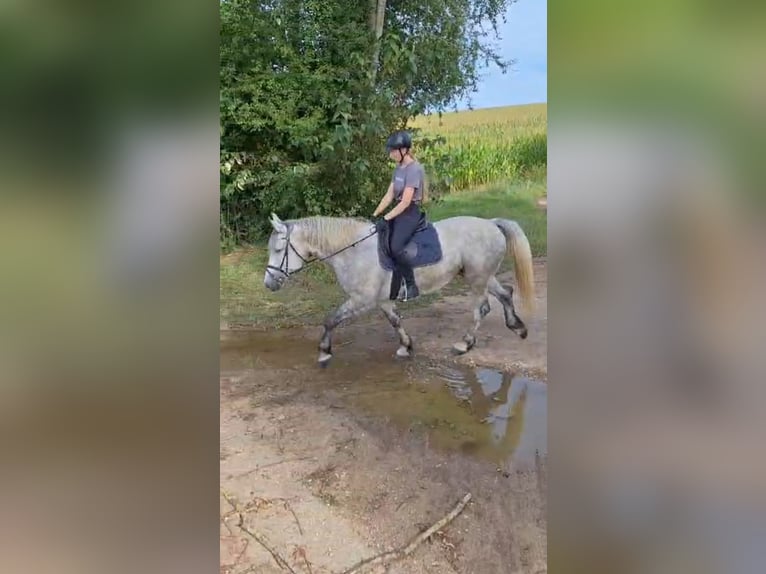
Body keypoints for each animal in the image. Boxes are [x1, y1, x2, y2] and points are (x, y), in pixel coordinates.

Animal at [268, 214, 536, 366]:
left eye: (279, 250)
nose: (268, 283)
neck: (353, 251)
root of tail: (491, 224)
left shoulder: (361, 300)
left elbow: (331, 320)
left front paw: (324, 352)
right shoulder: (382, 300)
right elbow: (395, 320)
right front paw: (406, 346)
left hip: (477, 278)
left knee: (482, 308)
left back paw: (465, 343)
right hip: (480, 275)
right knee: (506, 293)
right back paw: (518, 327)